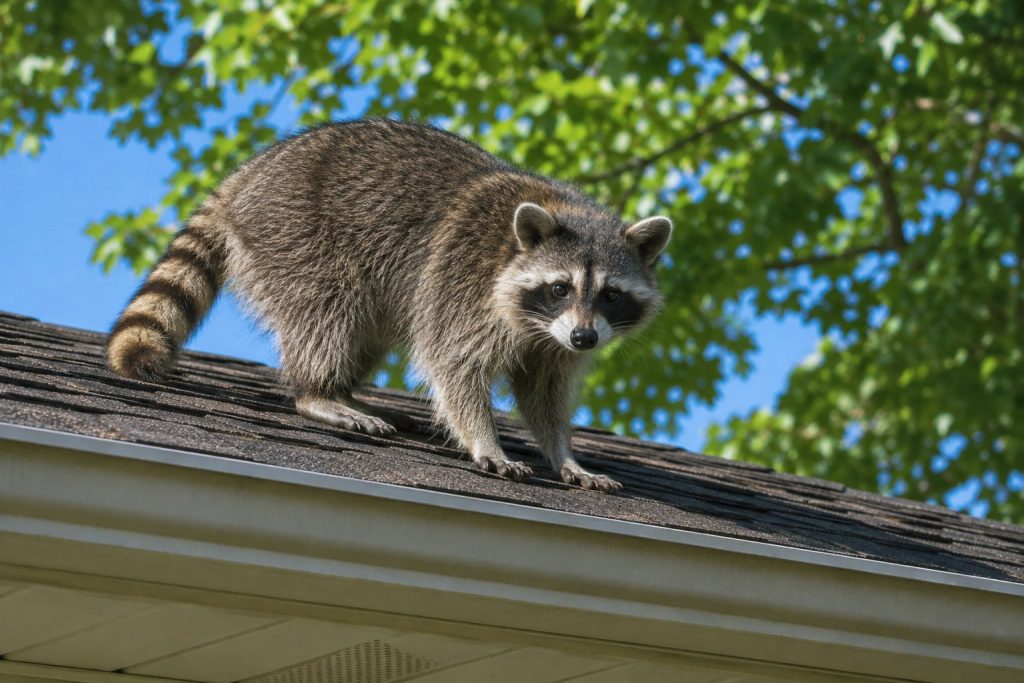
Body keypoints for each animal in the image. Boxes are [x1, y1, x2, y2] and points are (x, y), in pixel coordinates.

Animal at [107, 119, 671, 493]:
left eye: (611, 294)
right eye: (560, 288)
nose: (585, 338)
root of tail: (246, 176)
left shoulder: (553, 341)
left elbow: (545, 394)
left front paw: (563, 454)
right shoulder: (462, 286)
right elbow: (453, 365)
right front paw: (485, 440)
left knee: (365, 330)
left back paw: (346, 390)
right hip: (296, 235)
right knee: (327, 312)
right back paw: (318, 392)